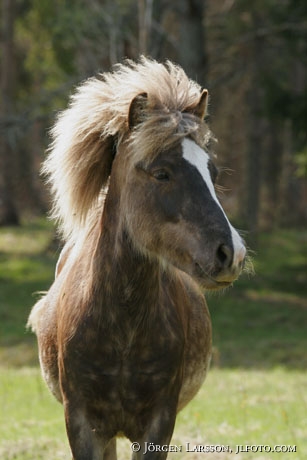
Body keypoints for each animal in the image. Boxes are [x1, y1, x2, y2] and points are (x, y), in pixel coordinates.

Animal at [28, 58, 245, 460]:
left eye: (213, 172)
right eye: (161, 173)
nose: (230, 253)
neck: (122, 329)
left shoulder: (158, 424)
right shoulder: (83, 425)